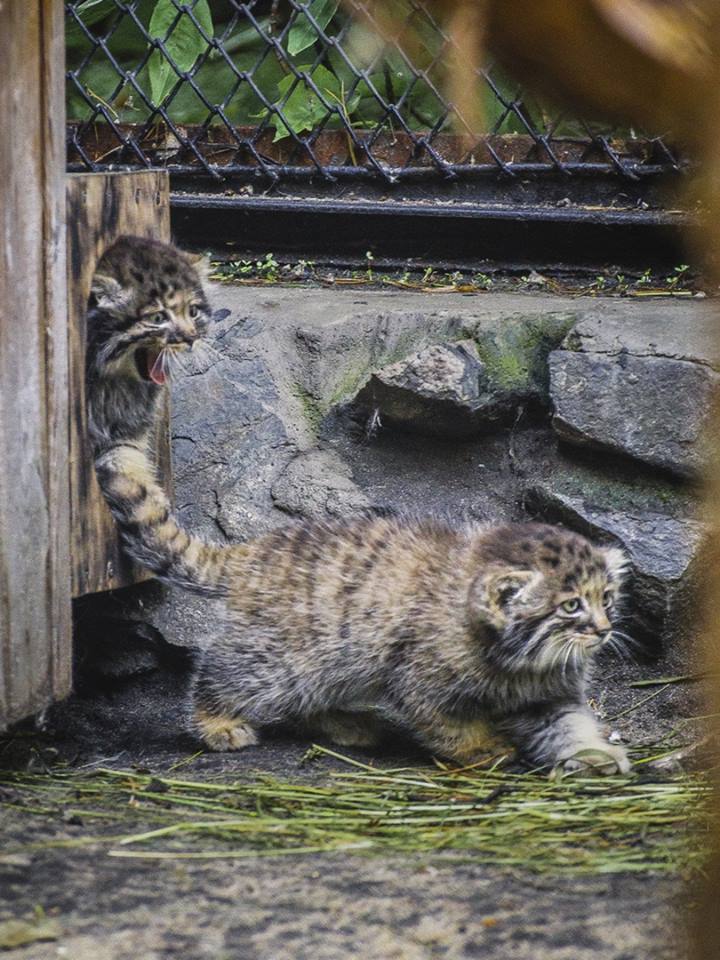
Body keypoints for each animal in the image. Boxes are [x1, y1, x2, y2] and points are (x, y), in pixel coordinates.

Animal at [88, 236, 632, 776]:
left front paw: (596, 754)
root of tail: (254, 553)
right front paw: (483, 749)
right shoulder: (419, 680)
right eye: (571, 605)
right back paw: (215, 722)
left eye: (606, 599)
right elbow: (448, 723)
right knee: (224, 675)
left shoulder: (552, 691)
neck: (520, 657)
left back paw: (345, 725)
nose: (605, 631)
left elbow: (568, 724)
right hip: (281, 656)